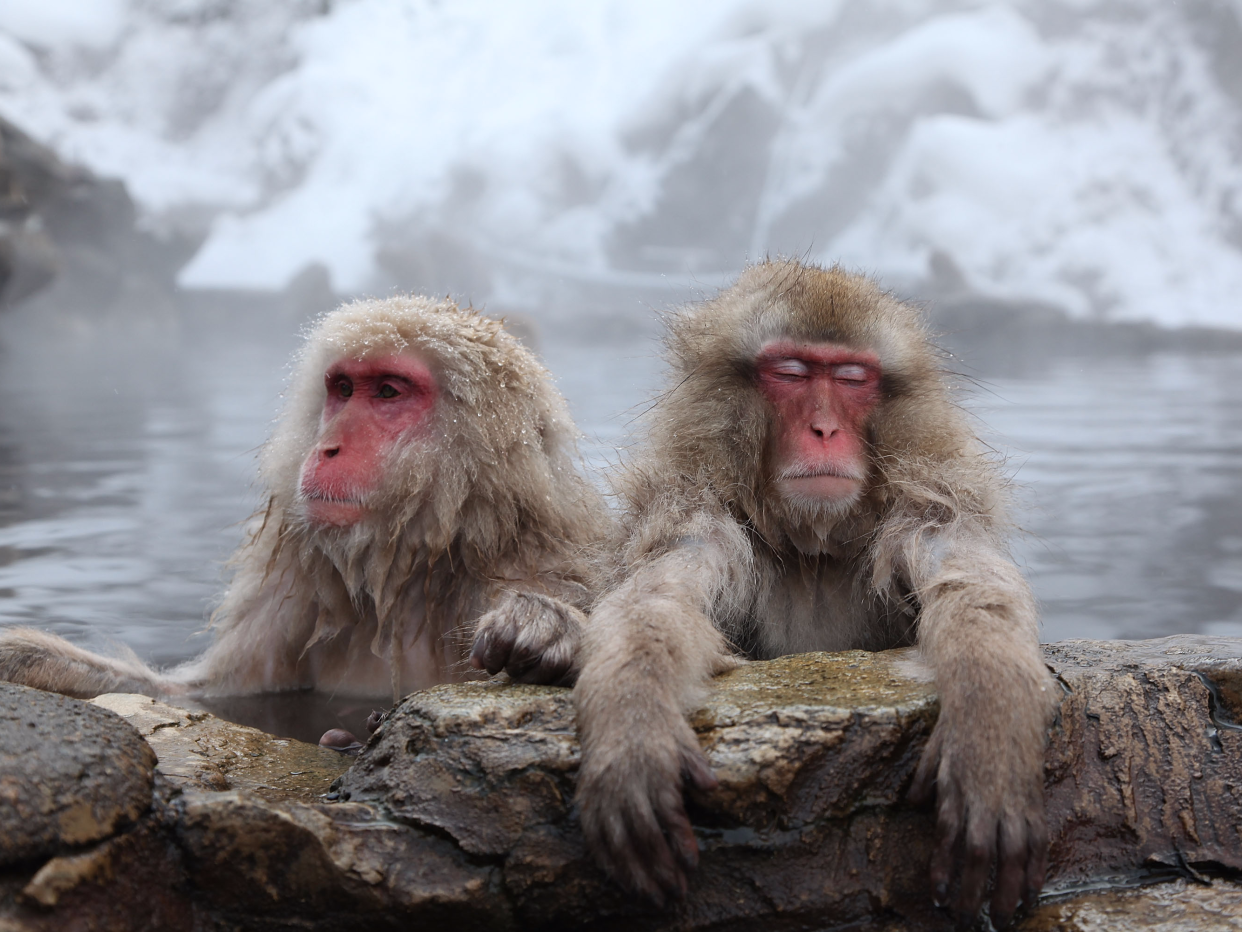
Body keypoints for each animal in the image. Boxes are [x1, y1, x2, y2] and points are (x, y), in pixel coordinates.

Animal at [0, 300, 606, 705]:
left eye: (388, 391)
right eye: (343, 389)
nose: (326, 446)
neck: (412, 572)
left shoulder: (540, 564)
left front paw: (546, 629)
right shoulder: (296, 591)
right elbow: (207, 692)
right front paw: (27, 656)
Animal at [573, 259, 1058, 929]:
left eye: (852, 377)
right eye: (792, 372)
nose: (823, 429)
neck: (814, 551)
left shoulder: (927, 506)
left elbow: (970, 582)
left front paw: (992, 729)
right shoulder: (697, 515)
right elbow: (655, 602)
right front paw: (631, 730)